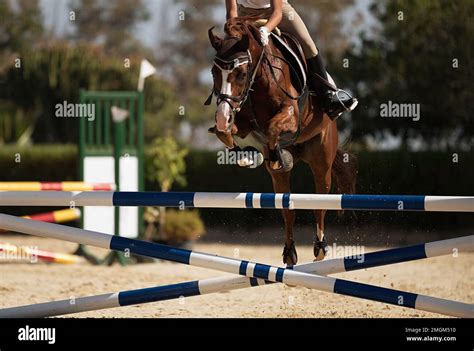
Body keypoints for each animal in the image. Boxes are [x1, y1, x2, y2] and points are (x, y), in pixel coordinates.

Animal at [207, 17, 356, 266]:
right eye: (213, 73)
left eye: (242, 73)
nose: (222, 114)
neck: (259, 80)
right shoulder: (242, 120)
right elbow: (225, 132)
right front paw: (247, 154)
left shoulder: (291, 115)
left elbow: (272, 127)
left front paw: (276, 154)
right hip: (281, 179)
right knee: (287, 208)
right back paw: (289, 252)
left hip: (321, 160)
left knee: (320, 201)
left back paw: (320, 248)